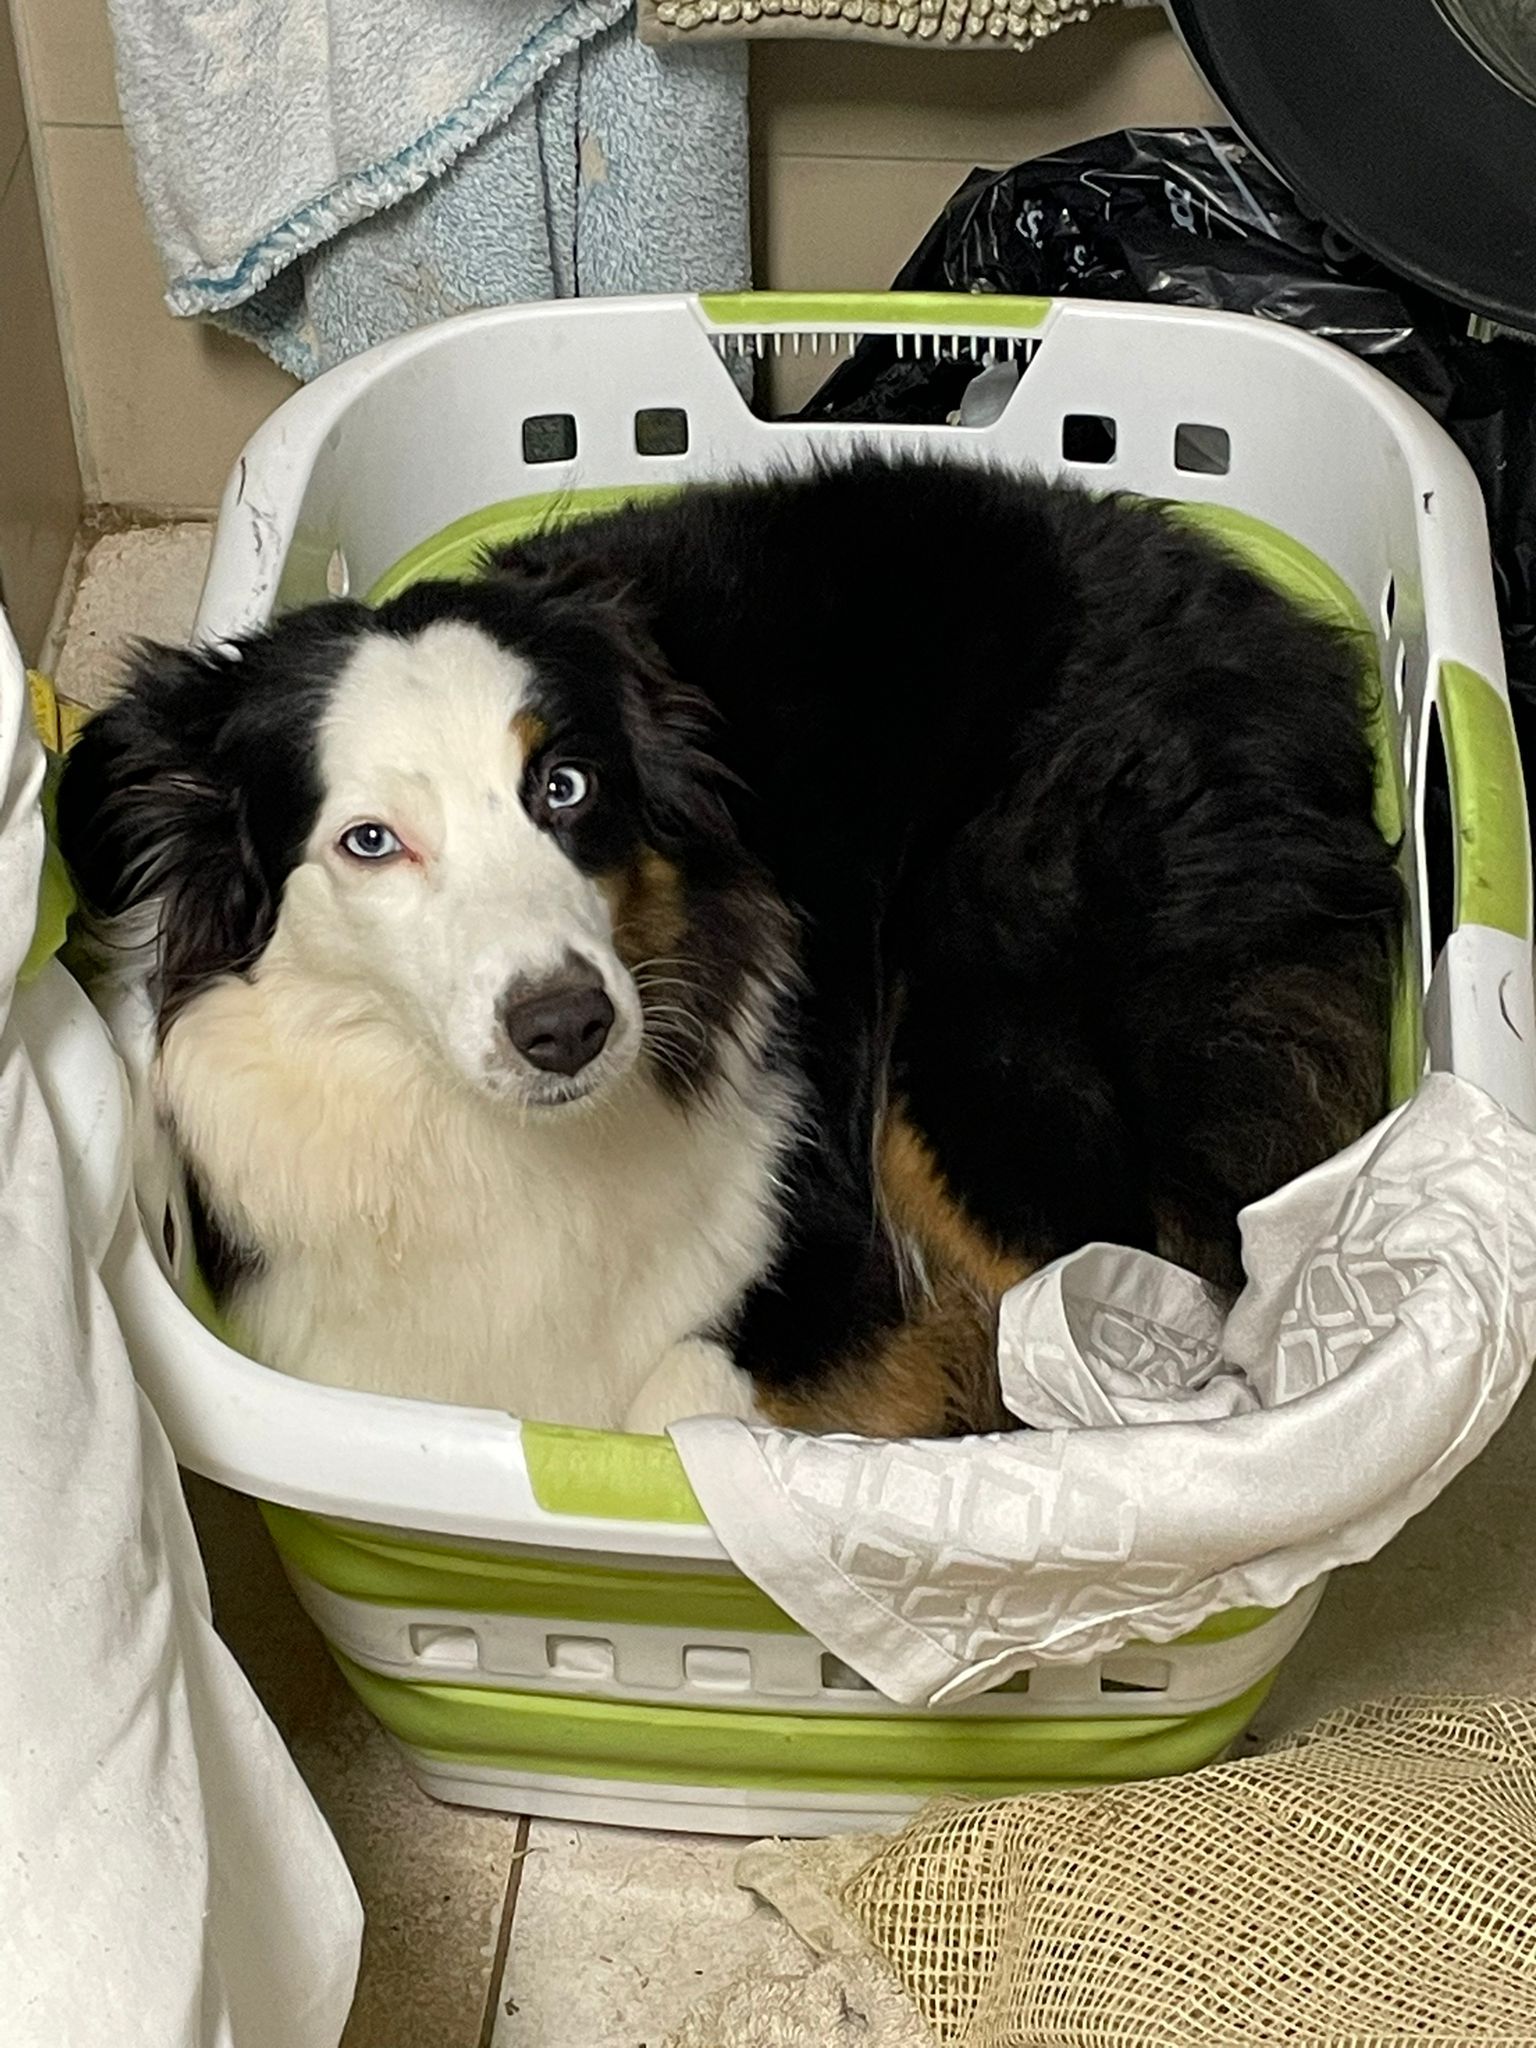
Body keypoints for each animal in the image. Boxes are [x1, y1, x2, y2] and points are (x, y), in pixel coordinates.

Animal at [59, 454, 1402, 1436]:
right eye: (371, 841)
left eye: (565, 784)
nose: (568, 1026)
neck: (494, 1145)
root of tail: (1297, 650)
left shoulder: (822, 1244)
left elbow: (683, 1401)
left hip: (978, 1043)